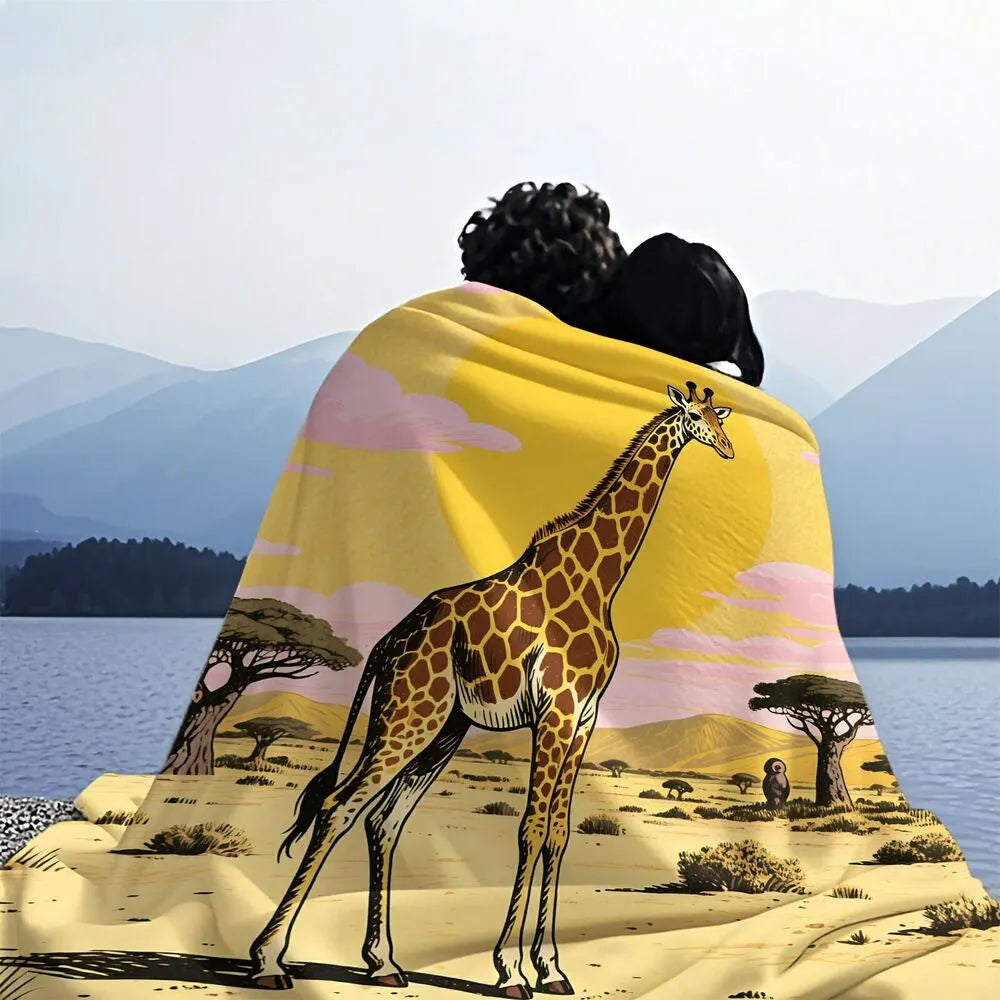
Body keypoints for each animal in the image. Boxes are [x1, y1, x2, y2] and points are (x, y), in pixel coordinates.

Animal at [249, 381, 735, 995]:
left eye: (719, 418)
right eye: (696, 416)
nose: (728, 448)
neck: (601, 581)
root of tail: (385, 644)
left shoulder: (584, 717)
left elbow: (560, 831)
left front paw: (552, 967)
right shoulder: (555, 710)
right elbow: (531, 828)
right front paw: (510, 970)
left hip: (444, 729)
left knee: (385, 819)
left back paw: (383, 963)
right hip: (410, 716)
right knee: (341, 806)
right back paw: (269, 960)